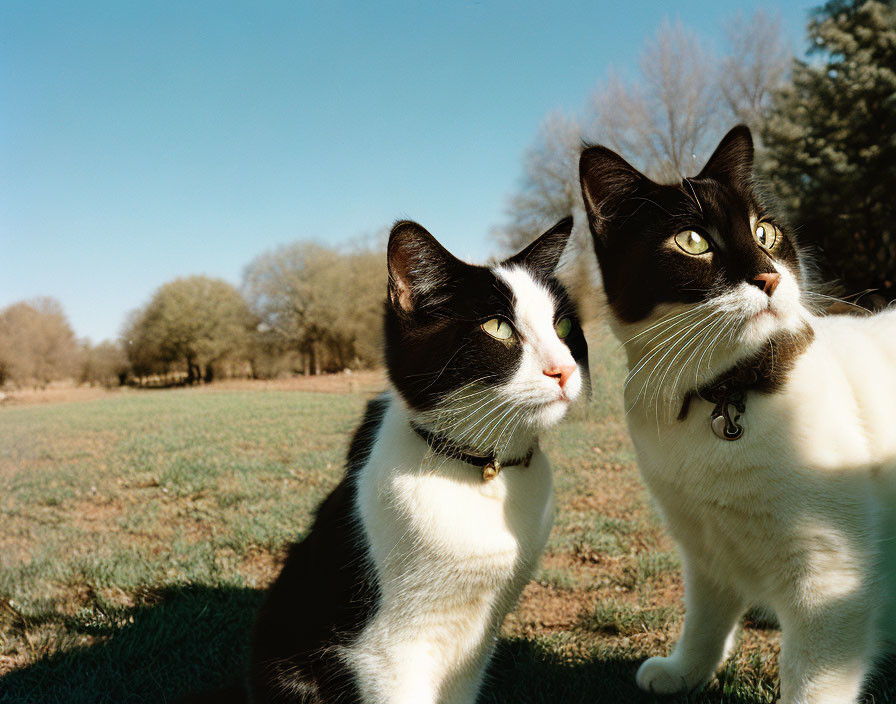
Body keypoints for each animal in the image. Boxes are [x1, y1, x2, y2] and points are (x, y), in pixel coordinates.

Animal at [248, 217, 592, 700]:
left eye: (563, 326)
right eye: (498, 328)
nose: (565, 370)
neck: (482, 473)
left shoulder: (477, 643)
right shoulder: (386, 651)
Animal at [576, 126, 892, 704]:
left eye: (765, 232)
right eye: (692, 241)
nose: (768, 277)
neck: (723, 395)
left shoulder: (832, 582)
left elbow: (811, 683)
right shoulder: (704, 548)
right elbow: (705, 619)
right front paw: (682, 672)